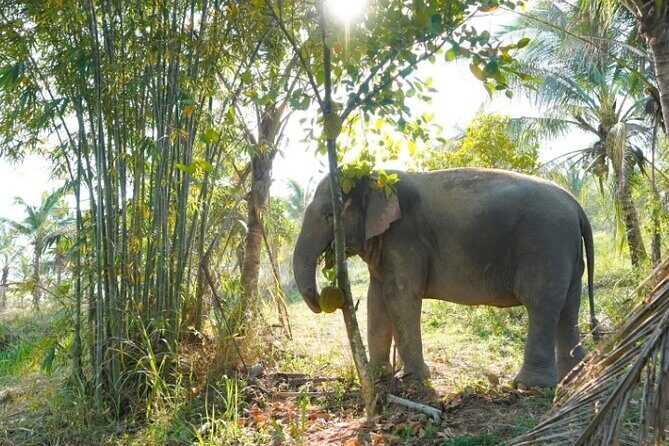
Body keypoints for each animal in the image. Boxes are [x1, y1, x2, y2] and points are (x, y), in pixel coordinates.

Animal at [292, 168, 596, 388]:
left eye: (329, 215)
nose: (323, 299)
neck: (376, 175)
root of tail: (577, 206)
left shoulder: (405, 237)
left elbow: (400, 295)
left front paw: (414, 378)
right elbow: (375, 297)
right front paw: (378, 375)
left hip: (545, 243)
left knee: (542, 304)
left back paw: (529, 386)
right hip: (566, 251)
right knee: (568, 308)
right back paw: (575, 377)